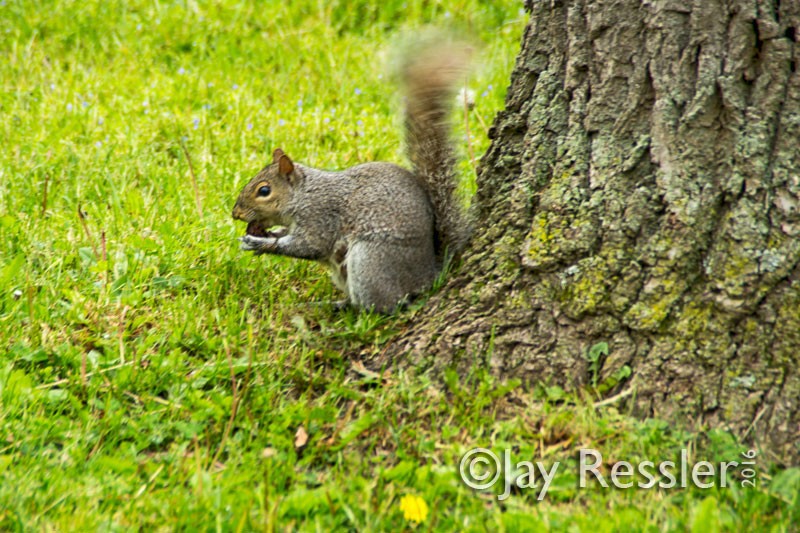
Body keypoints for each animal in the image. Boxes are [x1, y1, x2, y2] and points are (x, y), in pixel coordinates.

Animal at [230, 38, 468, 312]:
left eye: (264, 191)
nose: (235, 213)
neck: (303, 195)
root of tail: (429, 273)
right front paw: (264, 236)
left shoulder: (320, 218)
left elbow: (309, 246)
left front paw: (262, 243)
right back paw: (333, 304)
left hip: (371, 261)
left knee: (382, 305)